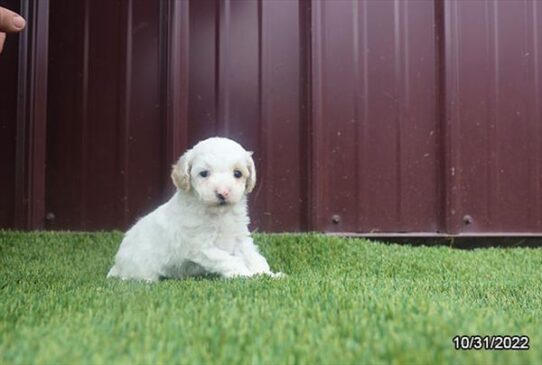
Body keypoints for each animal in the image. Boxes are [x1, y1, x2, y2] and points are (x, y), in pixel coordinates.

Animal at [109, 136, 282, 282]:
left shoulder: (239, 237)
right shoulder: (201, 246)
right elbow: (228, 259)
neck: (218, 214)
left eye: (237, 173)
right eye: (204, 173)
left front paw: (267, 275)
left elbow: (253, 256)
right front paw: (245, 275)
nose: (223, 193)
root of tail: (117, 265)